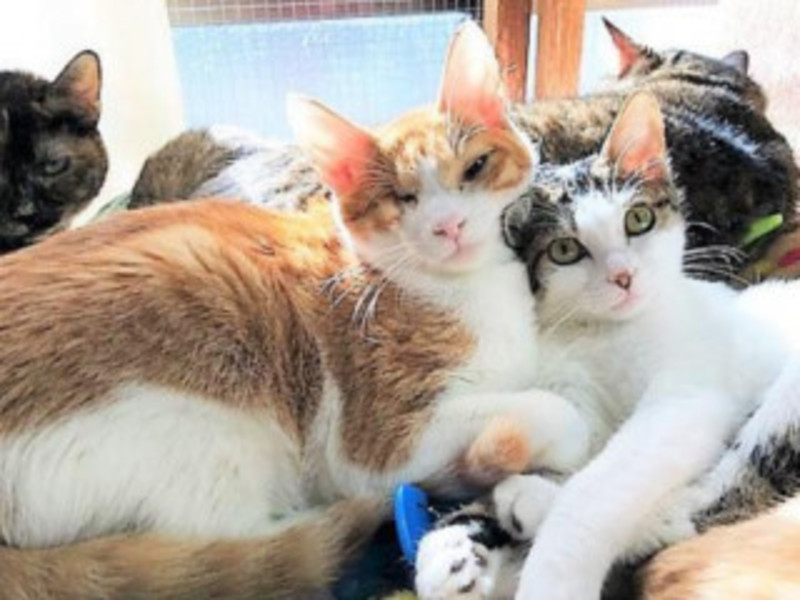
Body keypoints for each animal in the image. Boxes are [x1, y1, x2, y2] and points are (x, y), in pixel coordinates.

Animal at [413, 90, 800, 600]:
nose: (624, 276)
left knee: (721, 494)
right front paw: (456, 543)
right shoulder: (573, 396)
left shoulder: (686, 396)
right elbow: (575, 447)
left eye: (638, 219)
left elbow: (602, 484)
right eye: (564, 251)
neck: (599, 334)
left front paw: (551, 579)